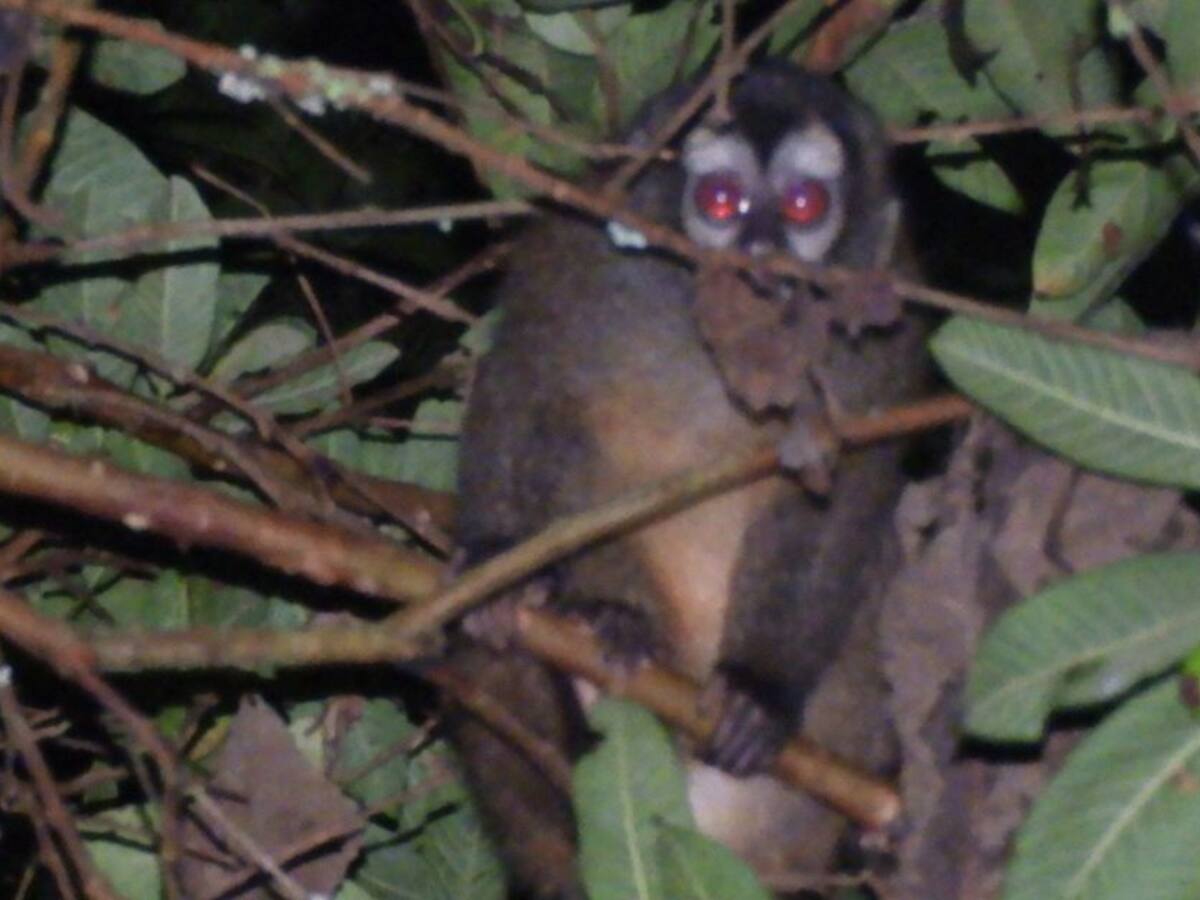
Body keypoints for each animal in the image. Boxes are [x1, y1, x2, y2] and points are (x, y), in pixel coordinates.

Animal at [446, 63, 929, 899]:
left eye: (804, 205)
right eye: (722, 202)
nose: (762, 252)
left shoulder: (885, 322)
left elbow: (848, 491)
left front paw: (757, 691)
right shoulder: (575, 253)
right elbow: (523, 382)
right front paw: (507, 566)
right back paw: (588, 630)